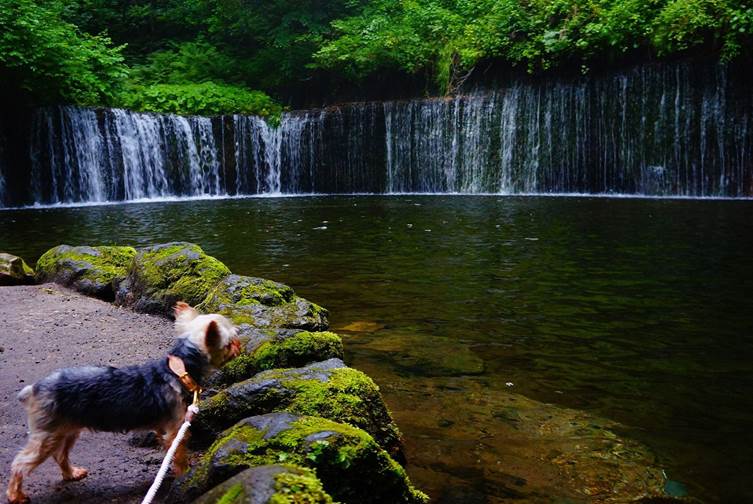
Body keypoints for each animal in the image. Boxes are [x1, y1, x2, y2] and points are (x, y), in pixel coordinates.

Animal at [5, 302, 241, 502]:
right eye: (229, 343)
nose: (240, 344)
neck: (180, 370)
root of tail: (35, 388)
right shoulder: (176, 428)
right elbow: (179, 452)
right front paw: (183, 474)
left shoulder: (163, 428)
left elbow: (166, 448)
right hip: (48, 434)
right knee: (20, 463)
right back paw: (16, 495)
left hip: (68, 429)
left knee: (60, 454)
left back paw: (72, 474)